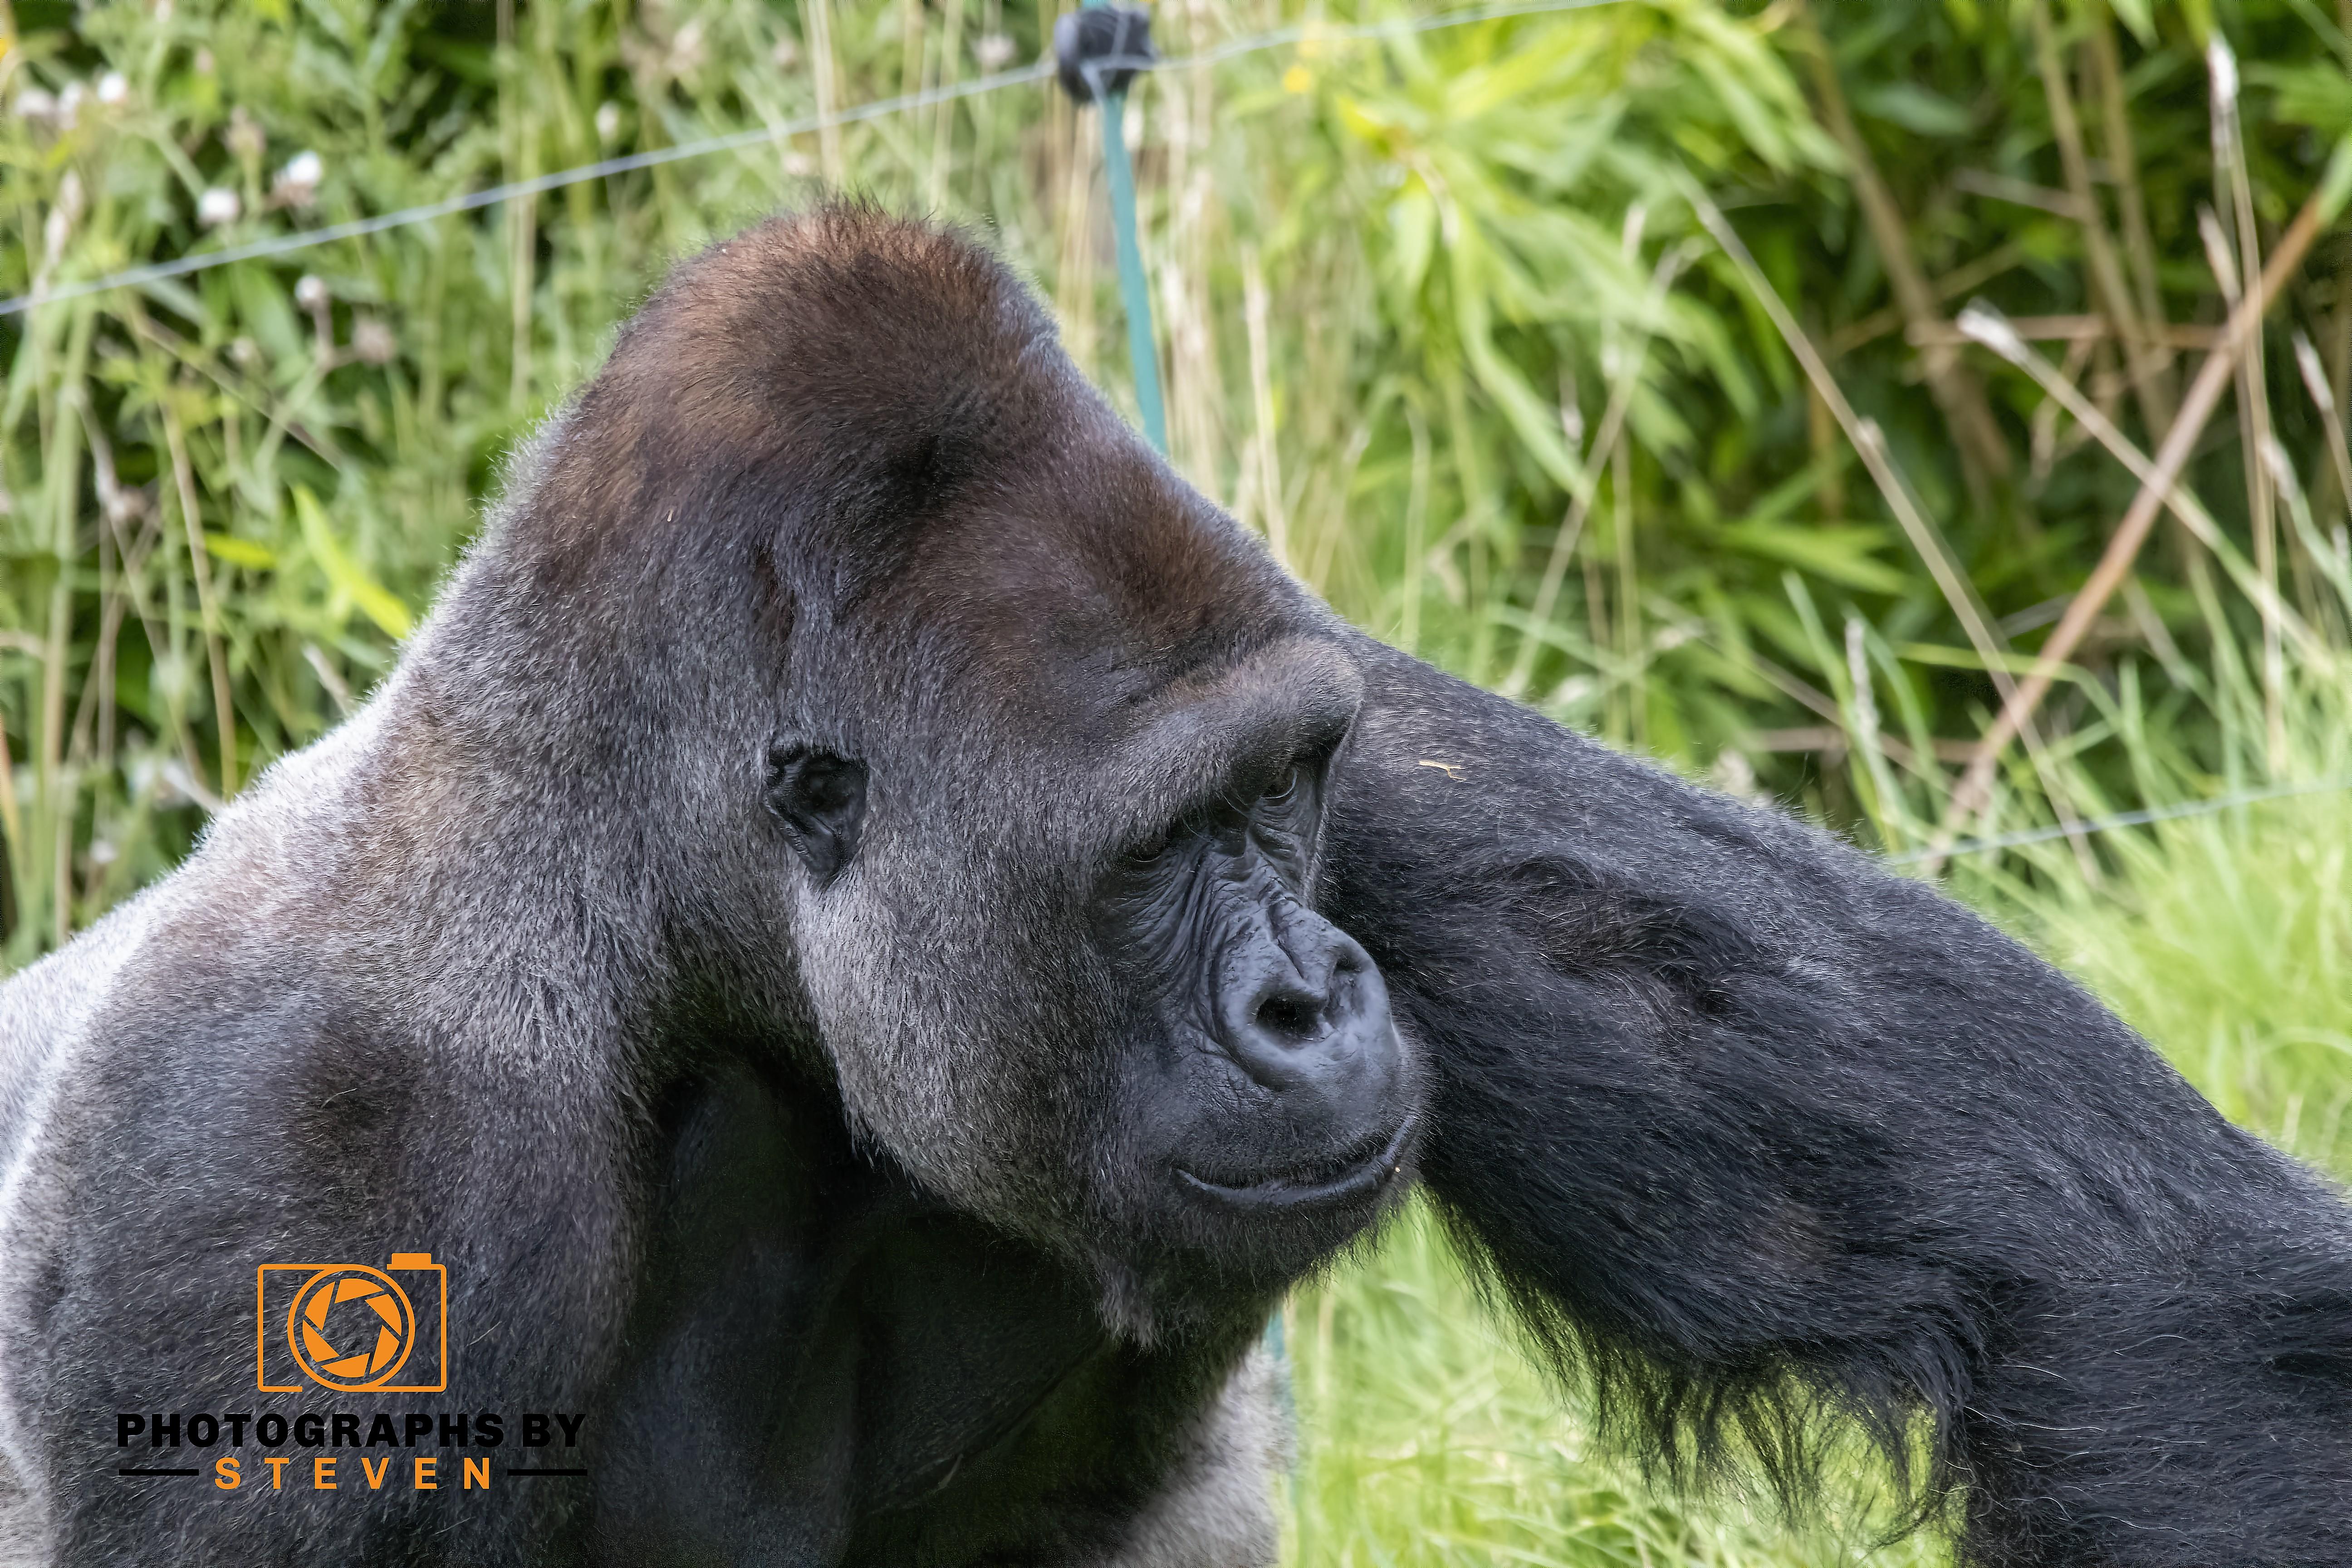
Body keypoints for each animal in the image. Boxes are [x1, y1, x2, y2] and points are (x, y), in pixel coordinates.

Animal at [0, 208, 2343, 1568]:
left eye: (1280, 797)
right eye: (1147, 859)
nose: (1312, 990)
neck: (651, 908)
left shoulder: (1323, 677)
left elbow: (2102, 1280)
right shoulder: (315, 1164)